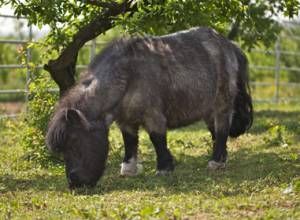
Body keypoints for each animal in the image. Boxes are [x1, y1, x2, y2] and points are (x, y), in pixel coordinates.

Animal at [46, 27, 253, 189]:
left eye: (74, 142)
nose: (74, 183)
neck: (128, 75)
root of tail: (229, 45)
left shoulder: (153, 115)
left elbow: (157, 139)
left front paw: (164, 168)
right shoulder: (125, 120)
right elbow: (130, 142)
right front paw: (129, 169)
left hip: (222, 103)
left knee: (222, 128)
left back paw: (215, 162)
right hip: (207, 108)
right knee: (216, 132)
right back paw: (221, 159)